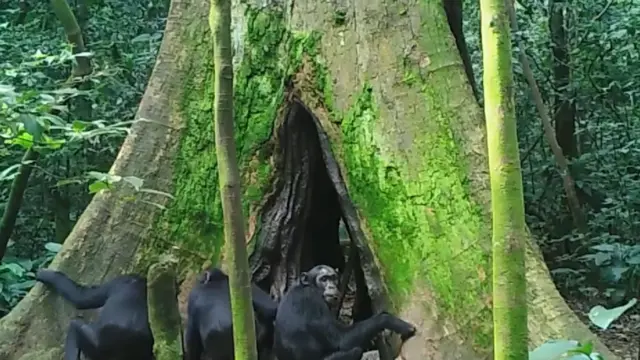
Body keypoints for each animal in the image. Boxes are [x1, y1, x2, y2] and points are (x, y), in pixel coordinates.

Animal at [274, 264, 416, 360]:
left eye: (333, 278)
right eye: (323, 279)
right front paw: (392, 321)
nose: (331, 286)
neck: (309, 286)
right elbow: (340, 340)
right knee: (355, 350)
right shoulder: (313, 303)